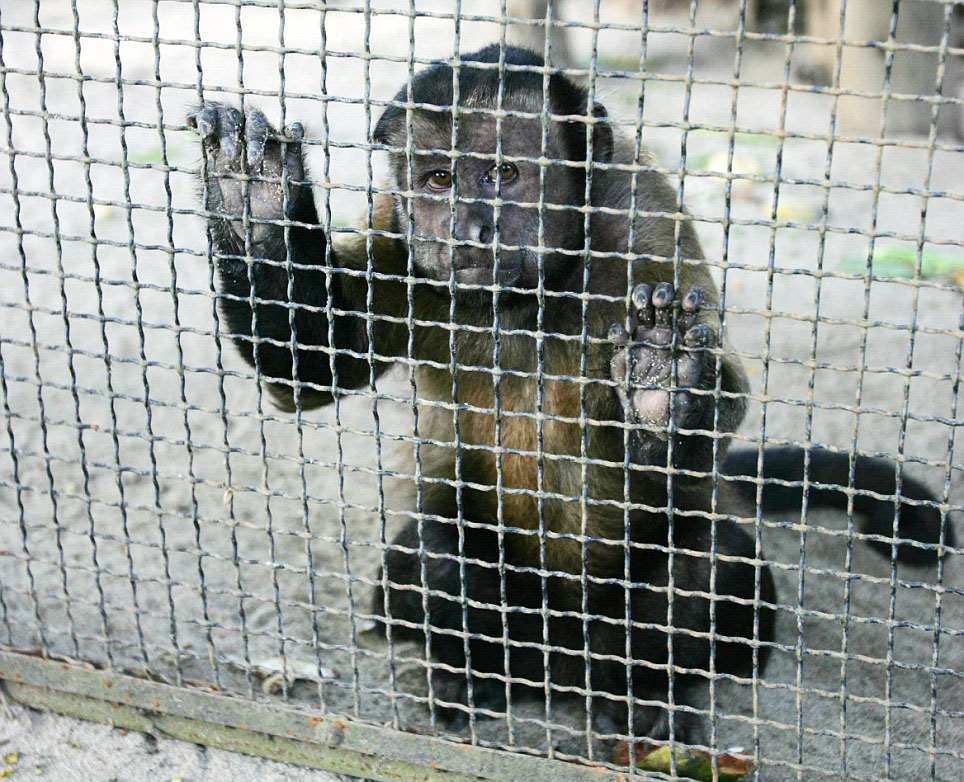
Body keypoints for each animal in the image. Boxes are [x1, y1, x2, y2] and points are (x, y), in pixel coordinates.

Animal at [185, 44, 952, 752]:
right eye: (439, 177)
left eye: (503, 172)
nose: (467, 229)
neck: (533, 292)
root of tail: (566, 660)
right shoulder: (400, 232)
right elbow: (316, 362)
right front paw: (253, 202)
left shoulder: (645, 219)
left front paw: (661, 384)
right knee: (437, 554)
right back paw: (482, 679)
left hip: (613, 630)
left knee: (710, 562)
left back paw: (641, 699)